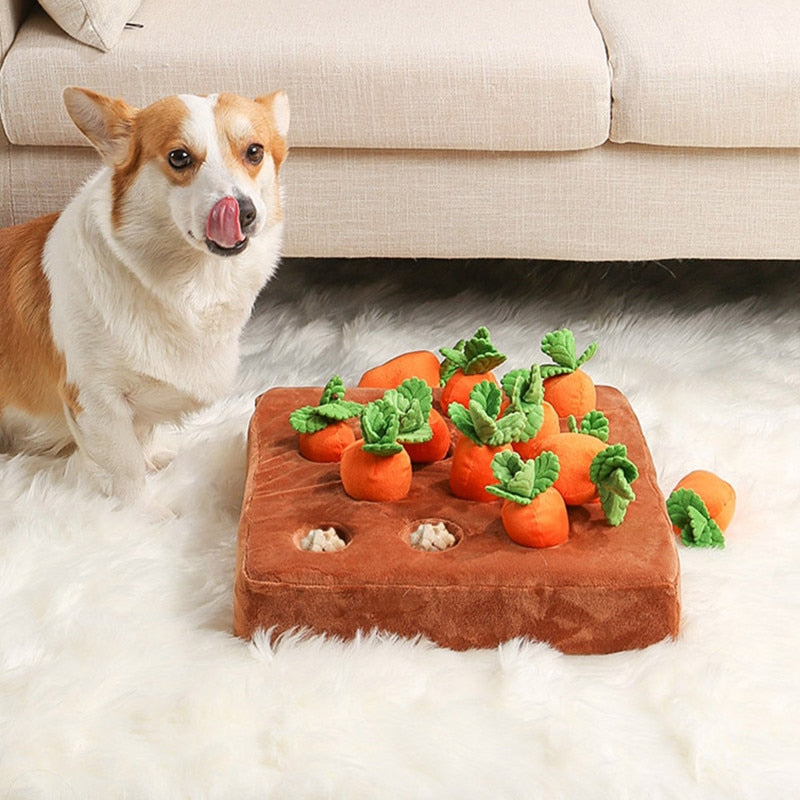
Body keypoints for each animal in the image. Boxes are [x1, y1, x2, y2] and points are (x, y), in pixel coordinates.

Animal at [0, 87, 290, 500]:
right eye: (179, 157)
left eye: (254, 151)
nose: (244, 212)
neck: (193, 283)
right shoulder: (95, 400)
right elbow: (126, 472)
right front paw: (140, 510)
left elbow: (145, 437)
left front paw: (156, 460)